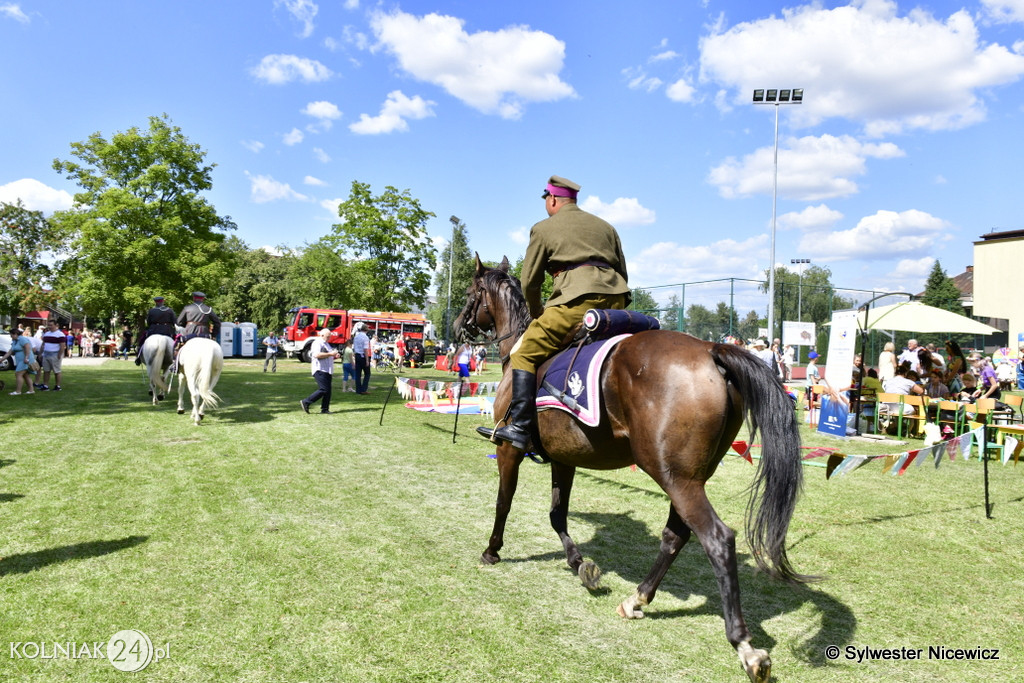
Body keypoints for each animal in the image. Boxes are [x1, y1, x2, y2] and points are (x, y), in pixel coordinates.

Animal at [456, 258, 815, 683]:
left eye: (469, 293)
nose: (458, 326)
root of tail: (710, 349)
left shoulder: (509, 449)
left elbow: (504, 502)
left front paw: (492, 550)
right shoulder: (564, 458)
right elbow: (557, 514)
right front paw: (580, 564)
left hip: (675, 478)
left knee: (717, 538)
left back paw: (744, 646)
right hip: (688, 477)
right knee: (676, 535)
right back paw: (637, 599)